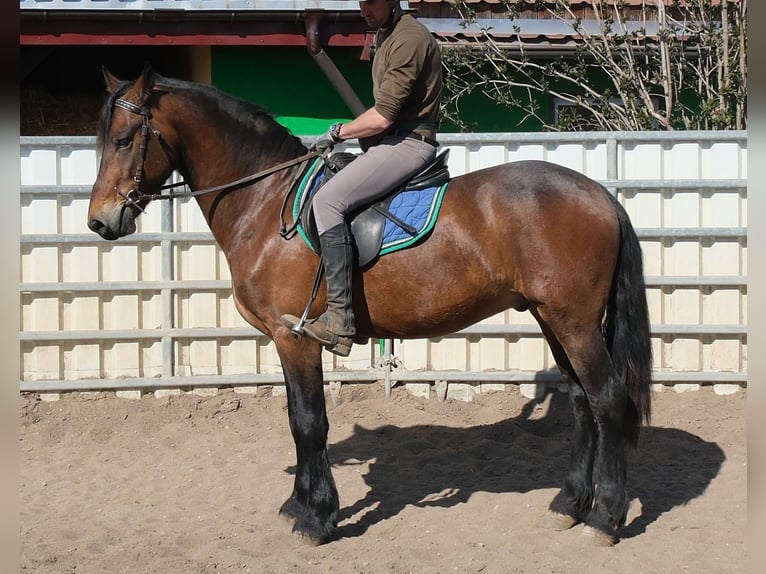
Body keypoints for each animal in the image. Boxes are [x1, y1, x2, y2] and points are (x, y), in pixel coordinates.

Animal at [87, 65, 652, 547]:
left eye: (124, 140)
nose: (100, 221)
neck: (265, 200)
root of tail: (599, 194)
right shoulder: (284, 341)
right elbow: (296, 418)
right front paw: (299, 506)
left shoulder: (294, 337)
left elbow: (309, 421)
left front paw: (316, 519)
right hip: (552, 318)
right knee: (580, 401)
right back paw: (567, 505)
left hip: (574, 323)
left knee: (606, 400)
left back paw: (605, 518)